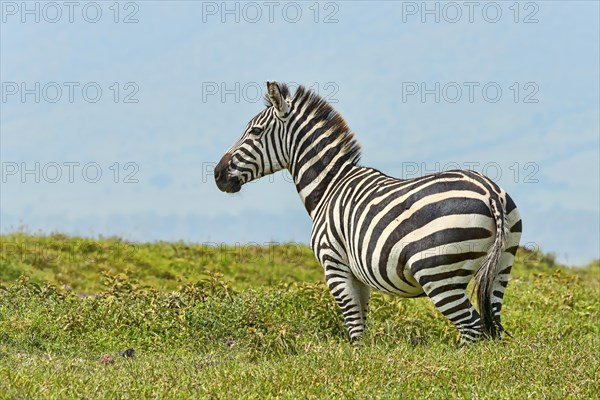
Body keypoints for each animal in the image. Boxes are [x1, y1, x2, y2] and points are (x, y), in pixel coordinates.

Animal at [214, 81, 520, 344]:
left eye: (255, 132)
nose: (217, 174)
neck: (330, 186)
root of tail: (489, 191)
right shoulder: (357, 273)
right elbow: (361, 321)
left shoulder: (334, 265)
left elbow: (353, 326)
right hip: (500, 267)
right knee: (491, 323)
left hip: (439, 274)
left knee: (471, 327)